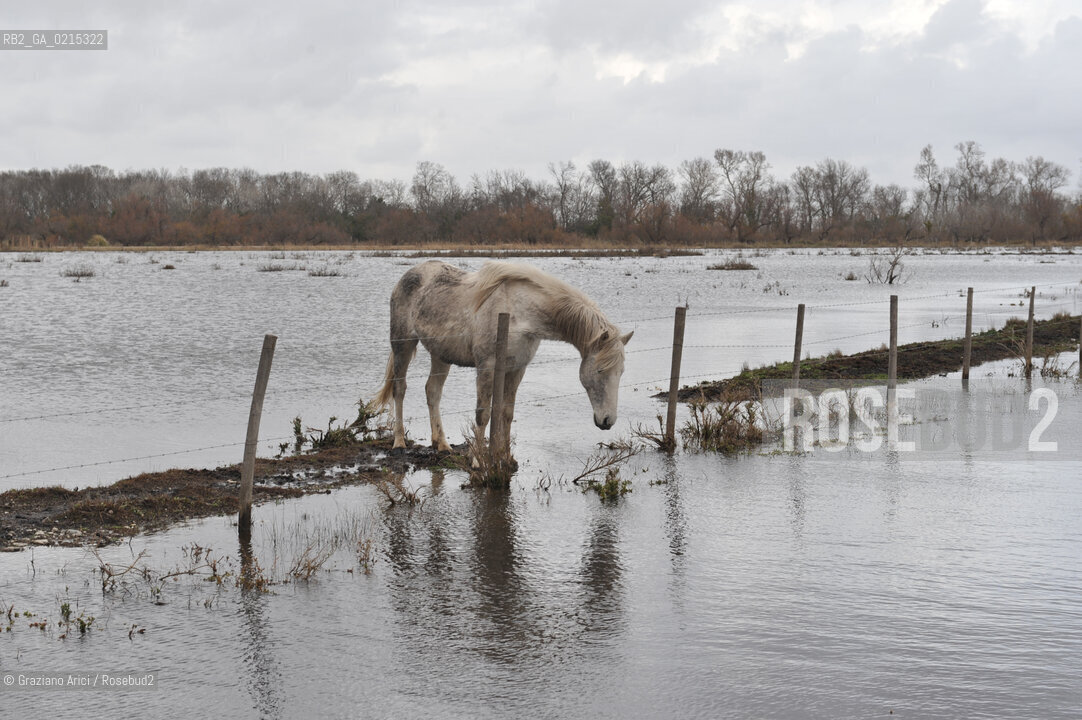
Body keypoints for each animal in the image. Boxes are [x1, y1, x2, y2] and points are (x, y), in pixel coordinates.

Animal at [374, 260, 633, 452]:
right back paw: (399, 442)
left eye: (621, 372)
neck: (521, 312)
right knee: (400, 389)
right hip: (402, 345)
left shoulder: (517, 368)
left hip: (440, 355)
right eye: (600, 370)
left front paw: (506, 458)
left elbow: (507, 414)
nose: (607, 421)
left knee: (433, 392)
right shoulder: (486, 367)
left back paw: (442, 444)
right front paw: (478, 462)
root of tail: (410, 275)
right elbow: (483, 414)